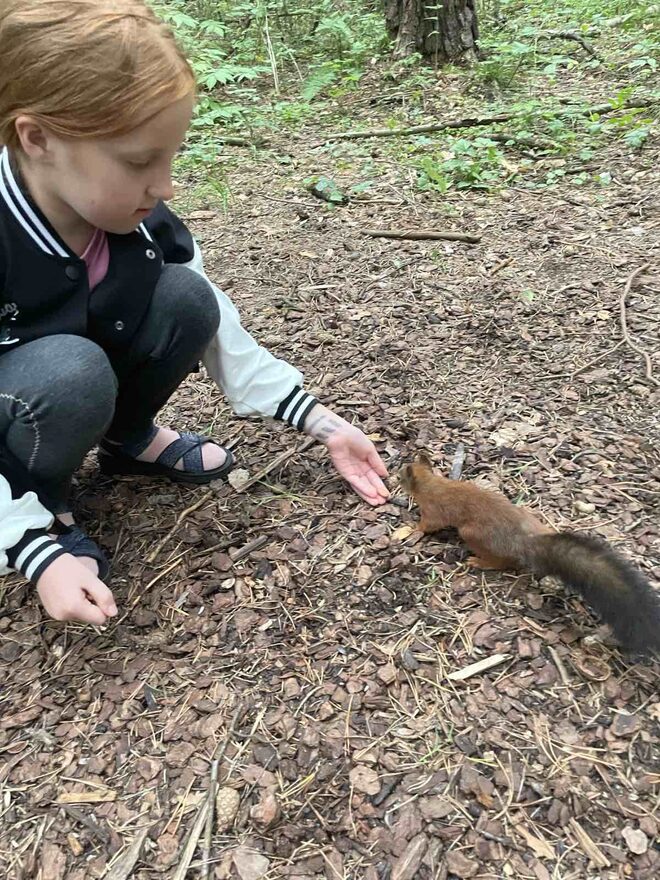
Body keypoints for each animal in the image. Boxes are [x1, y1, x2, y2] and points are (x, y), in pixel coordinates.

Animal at [398, 454, 660, 652]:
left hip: (472, 534)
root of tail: (524, 541)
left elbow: (429, 524)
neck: (431, 483)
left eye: (401, 476)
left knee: (501, 562)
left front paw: (412, 528)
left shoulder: (434, 510)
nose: (393, 477)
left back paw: (479, 562)